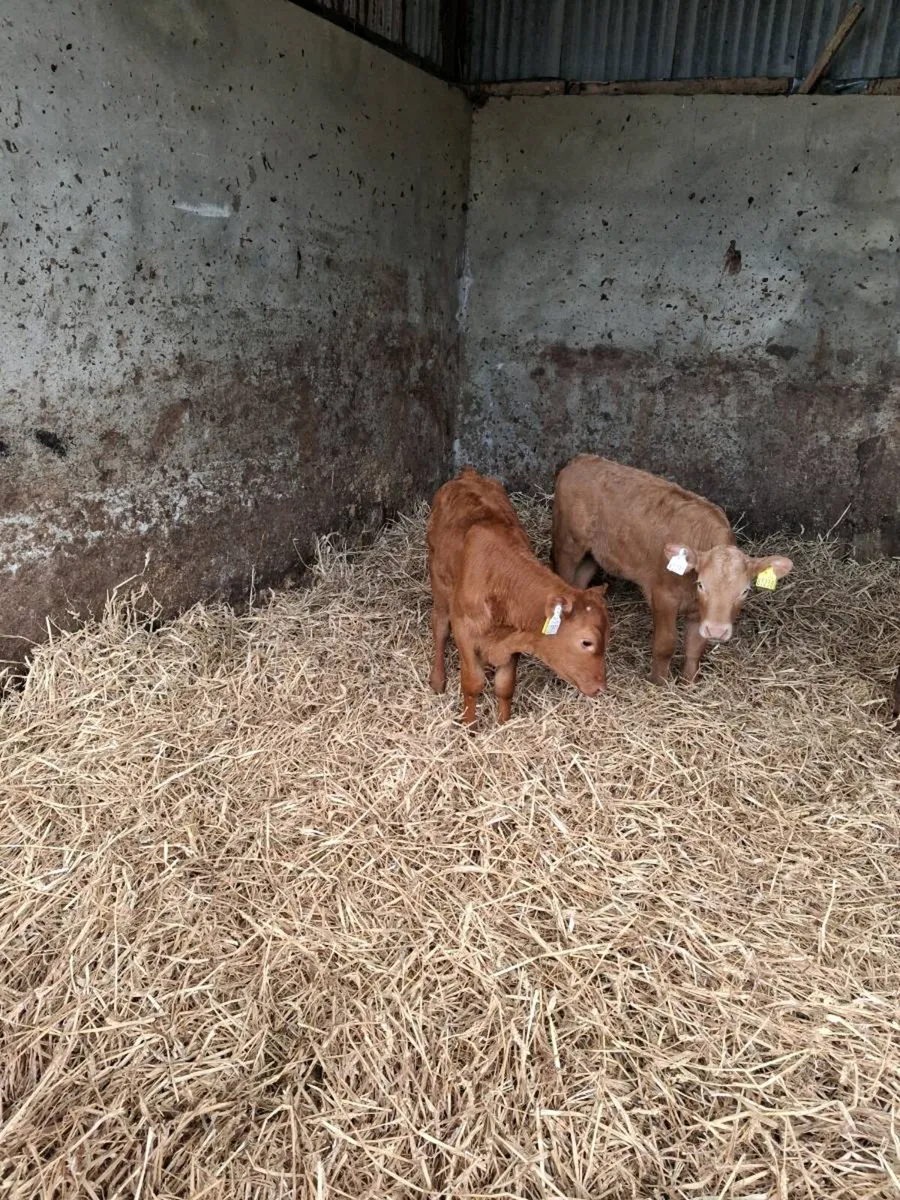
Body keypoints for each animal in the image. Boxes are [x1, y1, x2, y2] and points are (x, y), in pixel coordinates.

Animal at [427, 467, 610, 725]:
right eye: (586, 642)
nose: (601, 687)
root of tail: (468, 476)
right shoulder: (464, 631)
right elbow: (473, 684)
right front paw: (469, 726)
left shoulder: (514, 640)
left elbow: (505, 687)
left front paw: (503, 724)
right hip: (439, 582)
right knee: (440, 627)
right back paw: (437, 680)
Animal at [551, 455, 793, 684]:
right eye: (702, 585)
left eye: (744, 591)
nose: (717, 631)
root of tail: (582, 459)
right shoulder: (663, 597)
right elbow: (666, 645)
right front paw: (659, 683)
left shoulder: (699, 612)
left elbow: (695, 649)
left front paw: (688, 685)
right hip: (568, 544)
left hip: (595, 554)